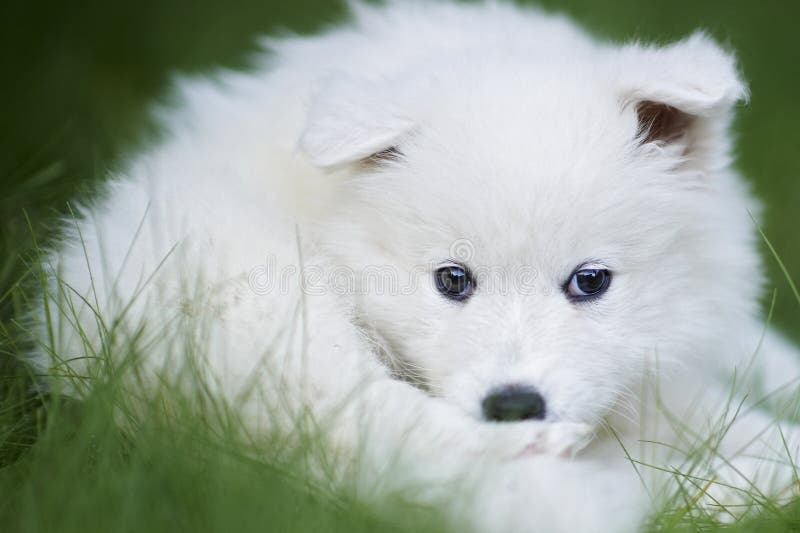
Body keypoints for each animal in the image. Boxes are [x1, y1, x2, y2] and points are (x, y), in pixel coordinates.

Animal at [31, 1, 800, 532]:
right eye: (452, 281)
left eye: (591, 281)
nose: (513, 404)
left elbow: (753, 365)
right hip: (266, 309)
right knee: (392, 428)